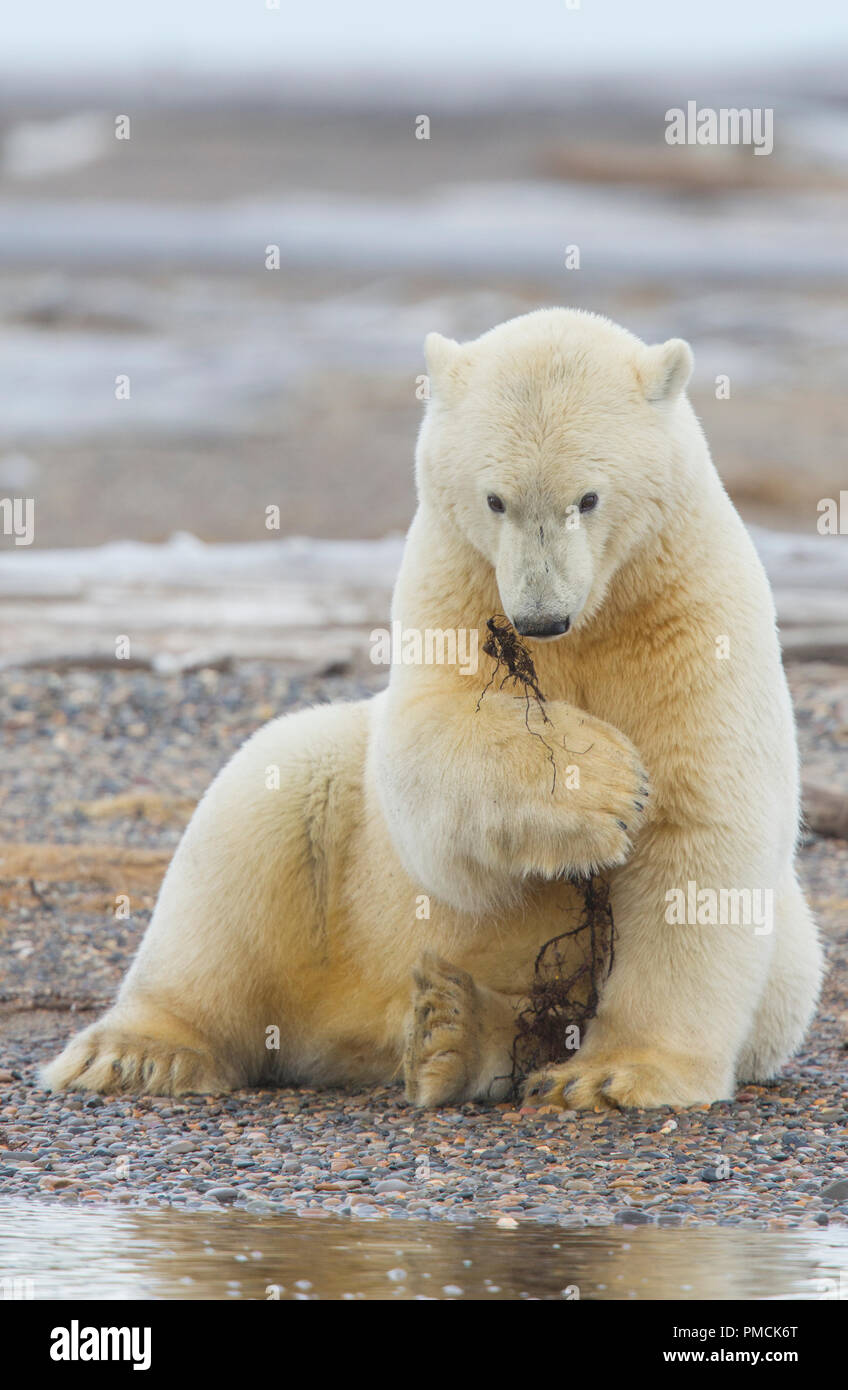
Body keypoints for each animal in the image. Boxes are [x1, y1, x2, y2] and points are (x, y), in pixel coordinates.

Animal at [41, 312, 817, 1106]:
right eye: (495, 499)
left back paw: (453, 1028)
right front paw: (599, 782)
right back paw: (141, 1051)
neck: (598, 616)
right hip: (335, 880)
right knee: (260, 808)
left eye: (589, 499)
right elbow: (427, 755)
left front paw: (611, 1074)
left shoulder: (693, 613)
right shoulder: (456, 581)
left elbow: (701, 830)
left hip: (782, 952)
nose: (541, 617)